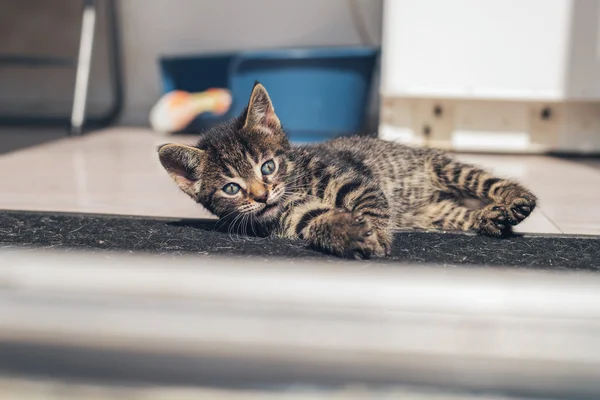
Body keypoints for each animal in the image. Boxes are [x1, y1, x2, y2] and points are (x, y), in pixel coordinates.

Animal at [157, 83, 536, 260]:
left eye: (267, 166)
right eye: (232, 188)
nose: (262, 196)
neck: (296, 183)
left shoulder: (354, 180)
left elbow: (370, 206)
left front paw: (378, 236)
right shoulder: (291, 217)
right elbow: (318, 221)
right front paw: (347, 234)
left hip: (443, 166)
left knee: (485, 180)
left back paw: (514, 200)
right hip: (436, 213)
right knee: (459, 213)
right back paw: (491, 217)